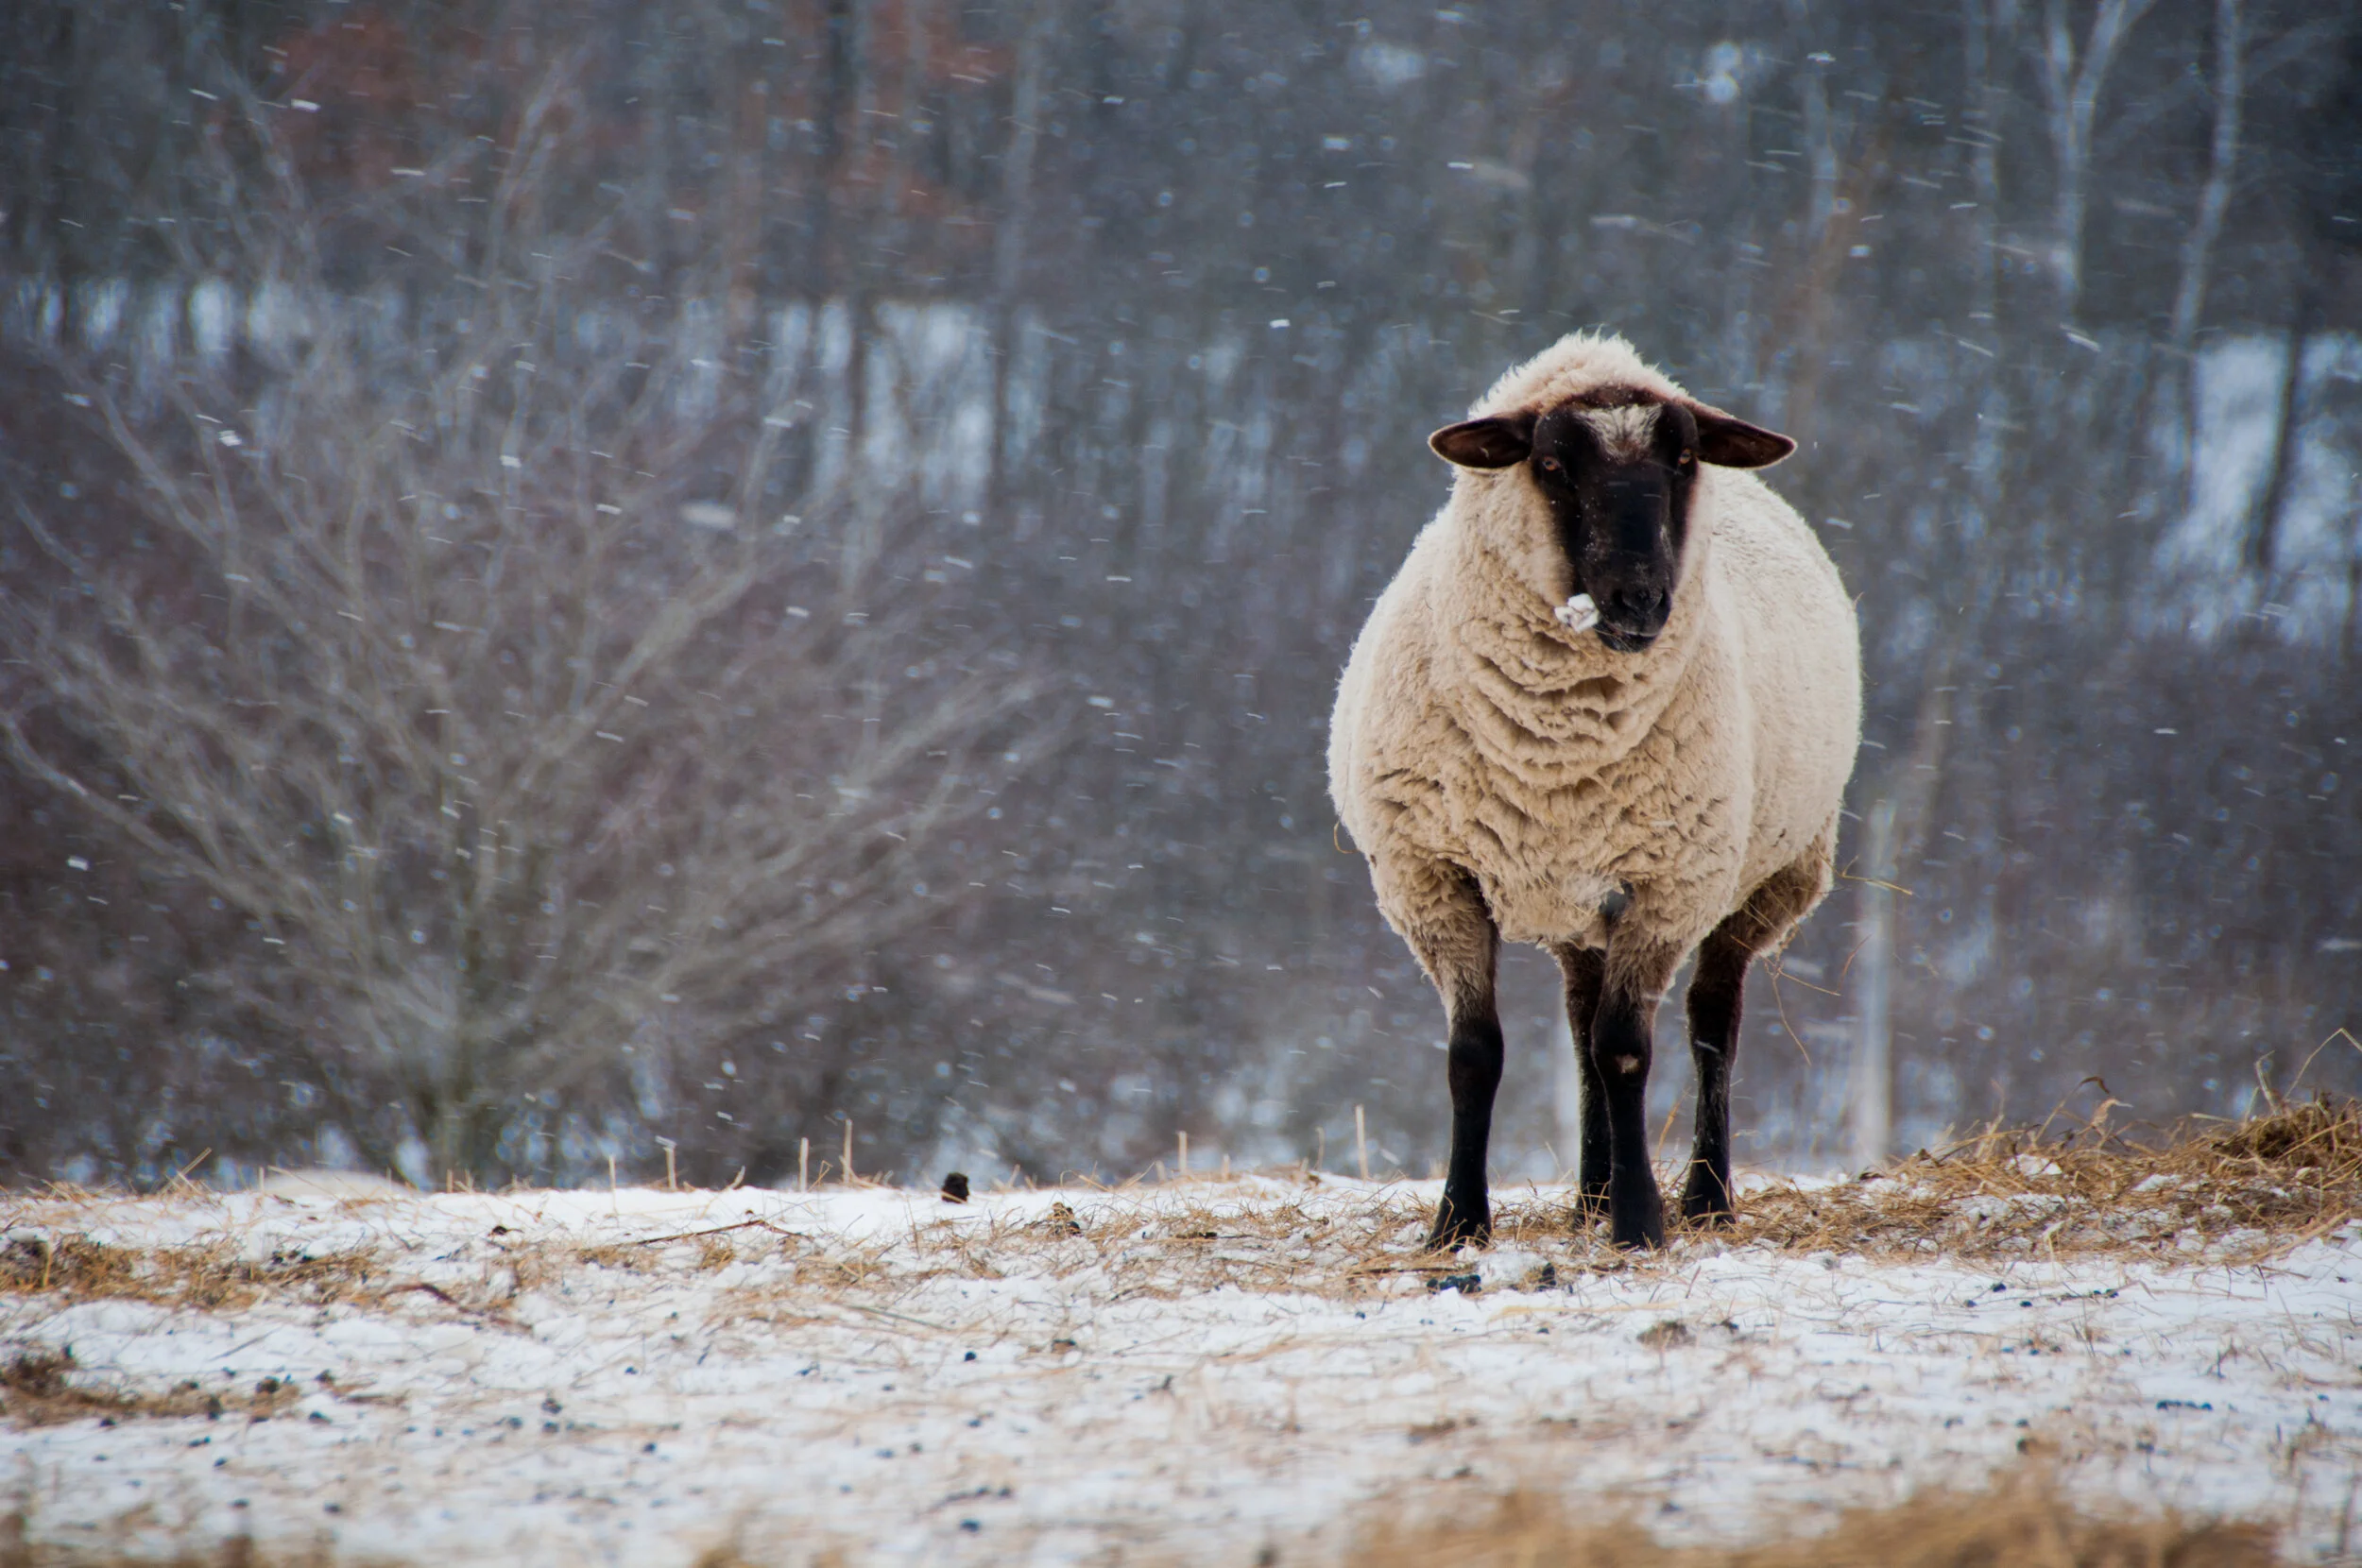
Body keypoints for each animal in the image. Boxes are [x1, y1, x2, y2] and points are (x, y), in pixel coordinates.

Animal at [1327, 332, 1861, 1250]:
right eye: (1549, 463)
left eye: (1682, 459)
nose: (1638, 598)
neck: (1554, 752)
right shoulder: (1433, 878)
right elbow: (1476, 1055)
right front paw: (1458, 1224)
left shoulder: (1665, 885)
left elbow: (1626, 1051)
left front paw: (1641, 1223)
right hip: (1578, 897)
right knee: (1579, 1022)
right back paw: (1589, 1194)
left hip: (1762, 877)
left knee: (1710, 1024)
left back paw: (1704, 1198)